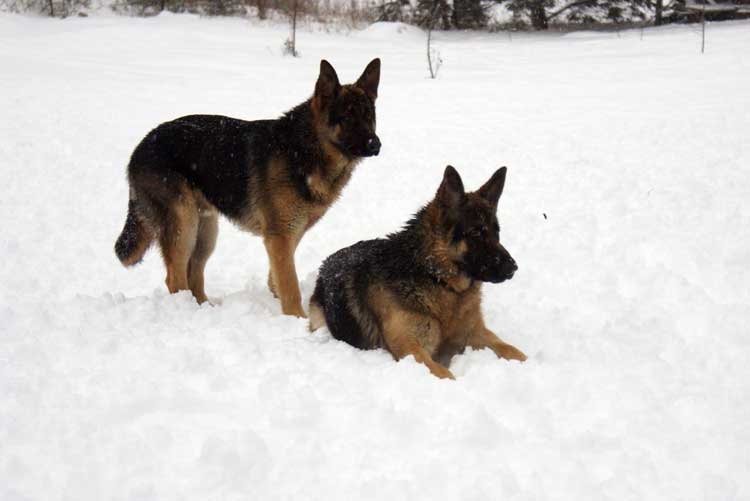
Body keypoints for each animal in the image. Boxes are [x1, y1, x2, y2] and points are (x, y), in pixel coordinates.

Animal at [114, 59, 384, 316]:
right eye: (346, 117)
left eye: (369, 116)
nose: (376, 144)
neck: (307, 148)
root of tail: (139, 149)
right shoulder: (280, 235)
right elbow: (290, 285)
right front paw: (296, 319)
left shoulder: (288, 234)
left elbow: (278, 277)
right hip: (184, 223)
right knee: (175, 279)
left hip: (206, 230)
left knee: (194, 274)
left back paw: (205, 308)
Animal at [312, 166, 528, 376]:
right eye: (476, 232)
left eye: (496, 232)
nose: (513, 268)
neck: (437, 279)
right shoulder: (411, 350)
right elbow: (445, 374)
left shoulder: (476, 334)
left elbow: (512, 350)